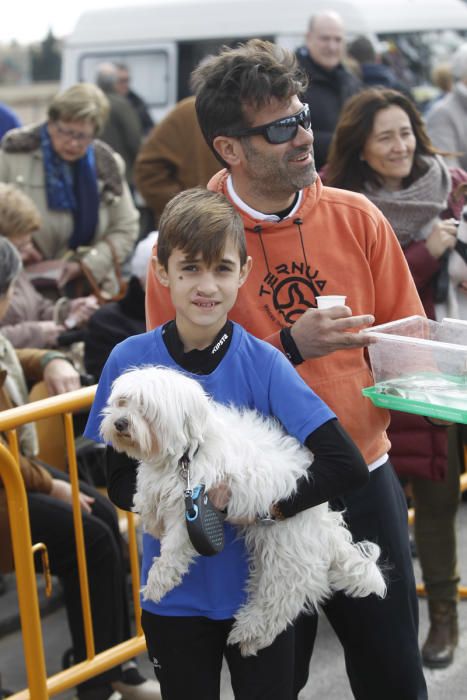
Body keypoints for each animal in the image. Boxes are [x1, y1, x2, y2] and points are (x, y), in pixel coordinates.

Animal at [101, 366, 388, 656]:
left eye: (145, 408)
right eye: (122, 402)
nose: (120, 423)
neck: (188, 453)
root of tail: (325, 526)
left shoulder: (192, 508)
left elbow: (173, 550)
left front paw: (157, 583)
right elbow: (145, 494)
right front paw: (150, 518)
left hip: (286, 552)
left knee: (284, 597)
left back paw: (250, 634)